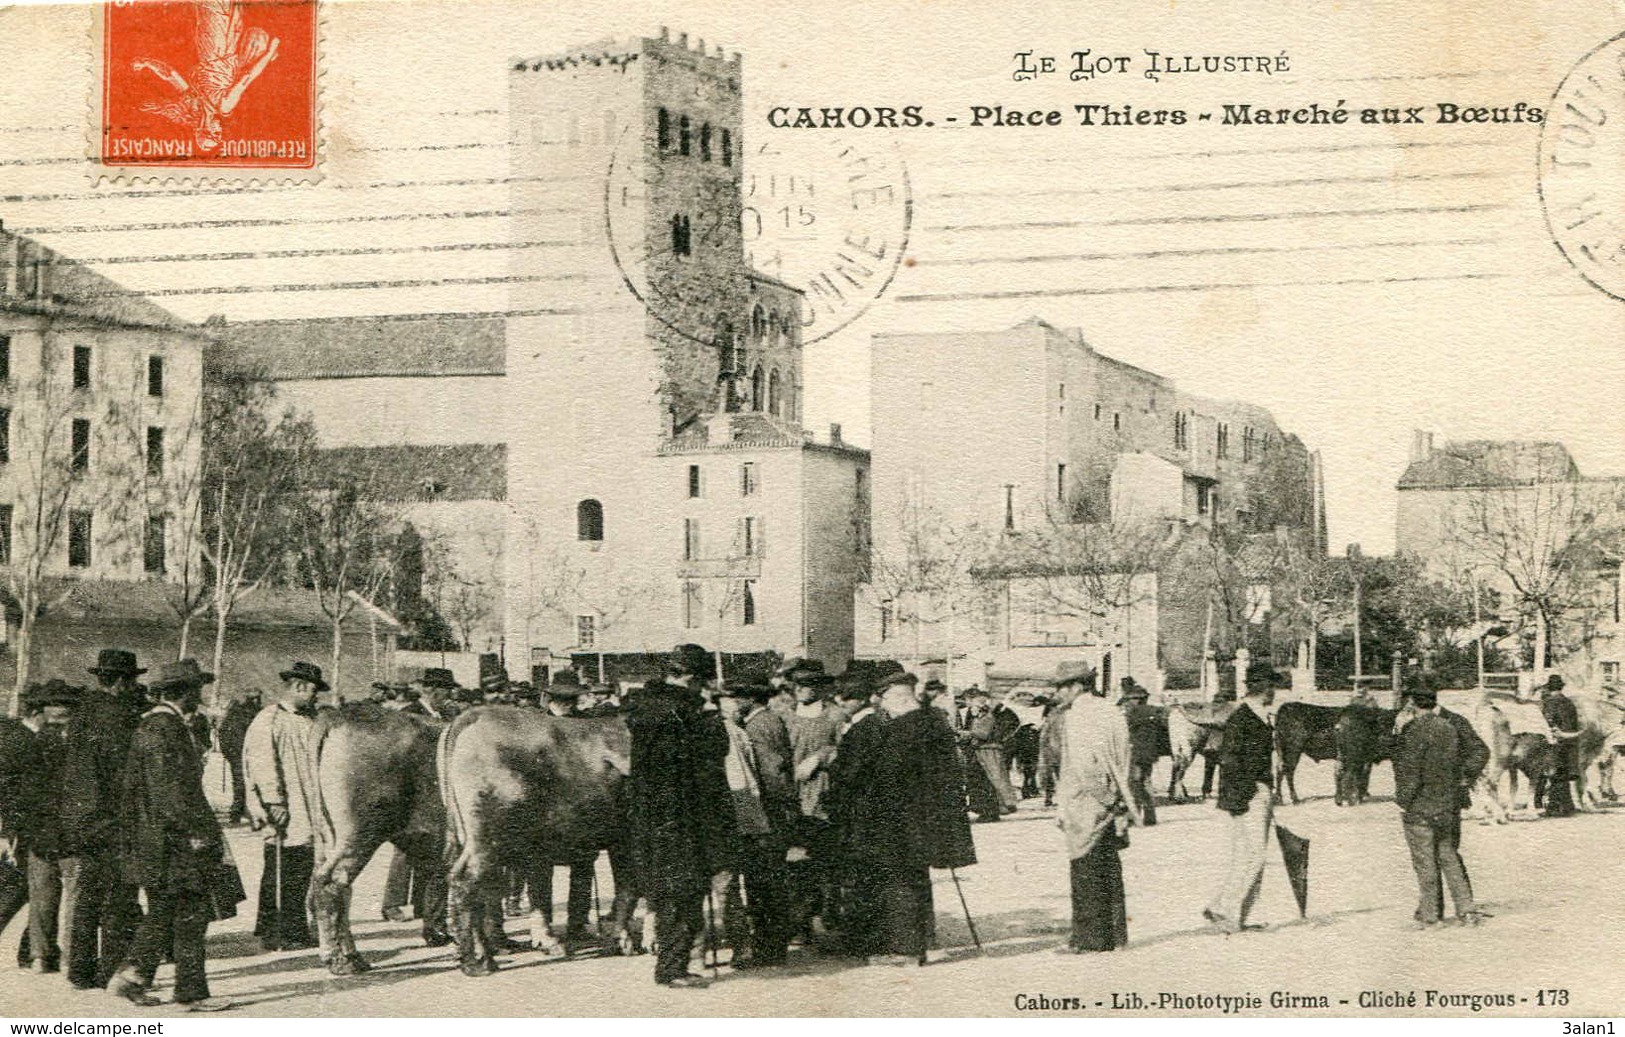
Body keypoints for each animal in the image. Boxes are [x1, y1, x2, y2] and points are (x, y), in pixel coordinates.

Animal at [307, 702, 448, 981]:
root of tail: (339, 714)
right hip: (361, 834)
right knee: (330, 885)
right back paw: (340, 961)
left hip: (331, 835)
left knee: (339, 890)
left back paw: (353, 956)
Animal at [438, 702, 640, 981]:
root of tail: (477, 714)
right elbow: (629, 888)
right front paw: (624, 940)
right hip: (487, 836)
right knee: (467, 881)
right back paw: (475, 963)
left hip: (469, 836)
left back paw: (486, 954)